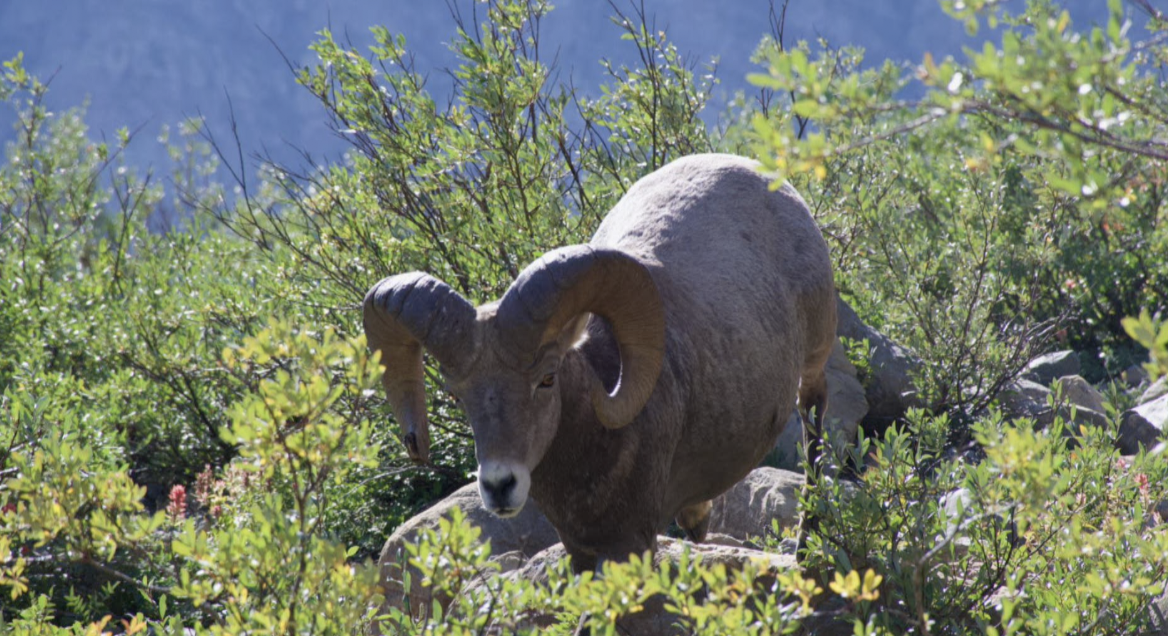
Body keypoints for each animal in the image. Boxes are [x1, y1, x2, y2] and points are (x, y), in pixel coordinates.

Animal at [366, 154, 840, 569]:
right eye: (456, 394)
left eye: (547, 378)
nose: (500, 486)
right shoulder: (580, 548)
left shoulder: (630, 542)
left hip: (814, 360)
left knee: (813, 415)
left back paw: (807, 547)